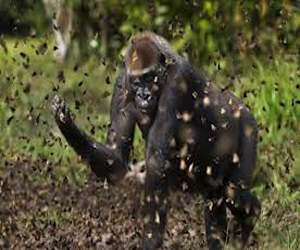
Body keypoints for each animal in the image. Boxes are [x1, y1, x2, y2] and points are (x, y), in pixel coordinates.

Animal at [51, 32, 260, 249]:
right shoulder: (121, 83)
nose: (144, 95)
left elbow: (156, 162)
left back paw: (252, 214)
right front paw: (66, 124)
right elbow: (116, 158)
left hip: (248, 124)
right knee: (216, 197)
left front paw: (151, 239)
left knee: (232, 193)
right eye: (136, 82)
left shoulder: (177, 83)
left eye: (149, 78)